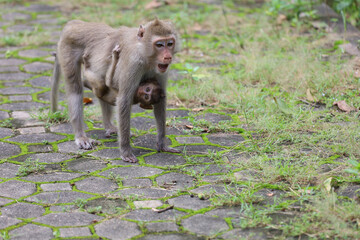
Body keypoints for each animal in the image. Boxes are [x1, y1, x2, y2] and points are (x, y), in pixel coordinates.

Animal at [50, 17, 180, 162]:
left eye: (170, 43)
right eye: (159, 45)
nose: (168, 56)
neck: (145, 54)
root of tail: (74, 24)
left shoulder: (161, 69)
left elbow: (160, 101)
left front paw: (162, 144)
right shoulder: (133, 63)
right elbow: (124, 100)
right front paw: (125, 151)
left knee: (101, 86)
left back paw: (109, 126)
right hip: (68, 47)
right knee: (75, 88)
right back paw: (80, 136)